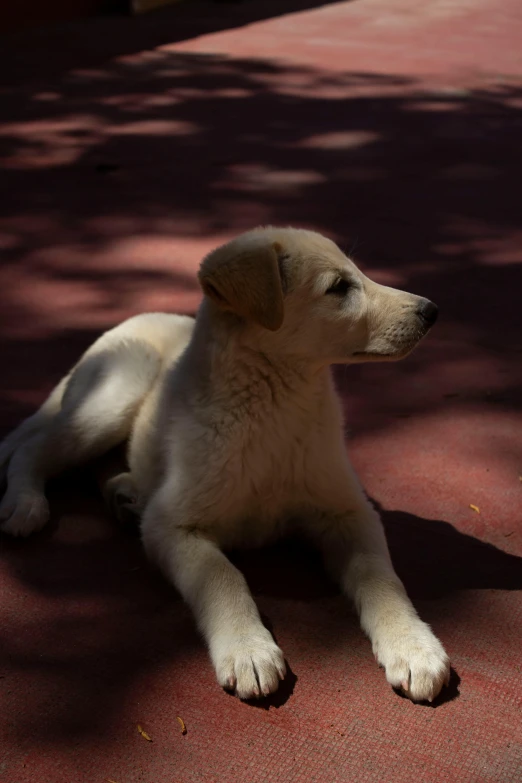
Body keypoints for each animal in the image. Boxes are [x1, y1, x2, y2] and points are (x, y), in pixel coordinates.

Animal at [0, 227, 446, 704]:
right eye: (339, 287)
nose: (431, 311)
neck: (276, 410)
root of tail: (129, 321)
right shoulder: (172, 525)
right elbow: (223, 576)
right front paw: (247, 648)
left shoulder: (348, 511)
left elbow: (381, 577)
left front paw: (413, 645)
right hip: (114, 397)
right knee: (34, 447)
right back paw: (25, 503)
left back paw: (125, 494)